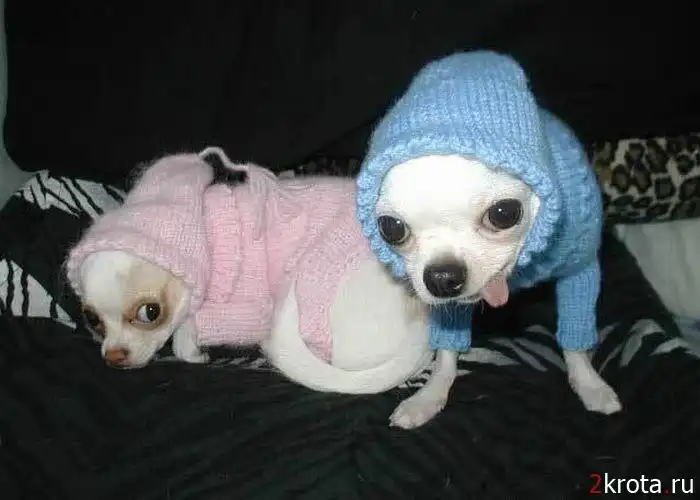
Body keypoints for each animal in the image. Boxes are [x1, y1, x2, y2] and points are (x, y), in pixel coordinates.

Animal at [66, 147, 433, 403]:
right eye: (92, 319)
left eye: (150, 312)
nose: (114, 358)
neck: (204, 233)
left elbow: (185, 337)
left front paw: (194, 350)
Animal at [356, 51, 622, 428]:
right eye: (391, 228)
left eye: (504, 213)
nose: (442, 277)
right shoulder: (448, 304)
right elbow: (447, 350)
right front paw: (431, 395)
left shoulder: (580, 269)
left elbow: (575, 336)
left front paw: (589, 383)